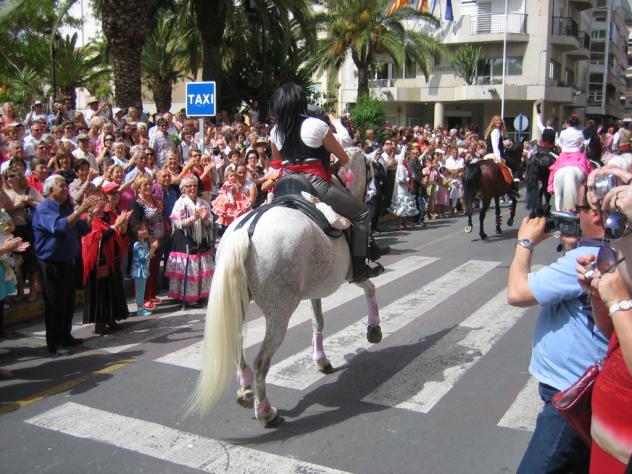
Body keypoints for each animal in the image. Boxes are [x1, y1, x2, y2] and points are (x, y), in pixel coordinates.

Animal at [187, 147, 382, 427]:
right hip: (279, 313)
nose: (371, 194)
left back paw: (246, 389)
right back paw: (266, 412)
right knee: (261, 362)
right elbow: (370, 287)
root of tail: (244, 231)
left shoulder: (316, 290)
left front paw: (321, 360)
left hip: (239, 304)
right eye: (371, 170)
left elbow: (318, 322)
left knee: (238, 345)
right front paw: (373, 329)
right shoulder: (352, 275)